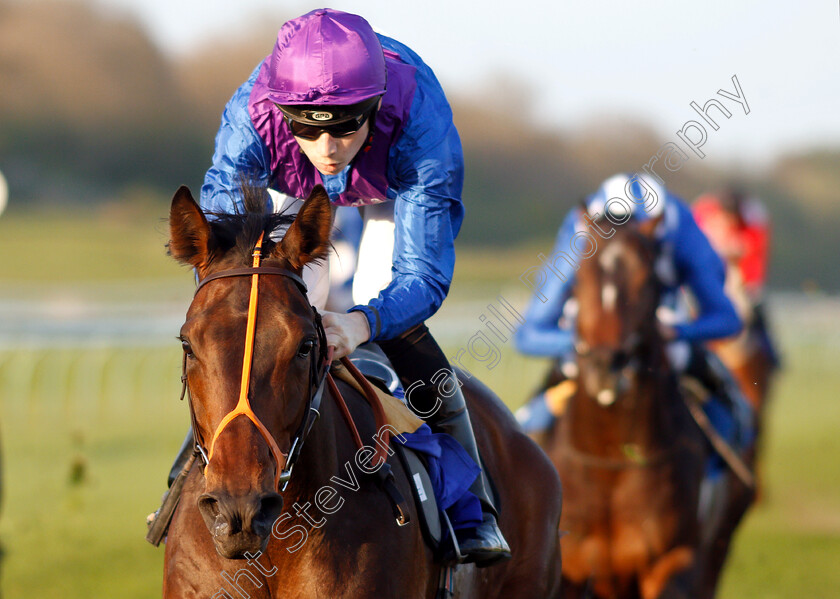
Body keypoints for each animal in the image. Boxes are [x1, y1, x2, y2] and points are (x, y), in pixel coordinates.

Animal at [540, 216, 708, 599]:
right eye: (578, 278)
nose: (606, 366)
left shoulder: (673, 556)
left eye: (648, 281)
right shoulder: (573, 569)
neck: (611, 463)